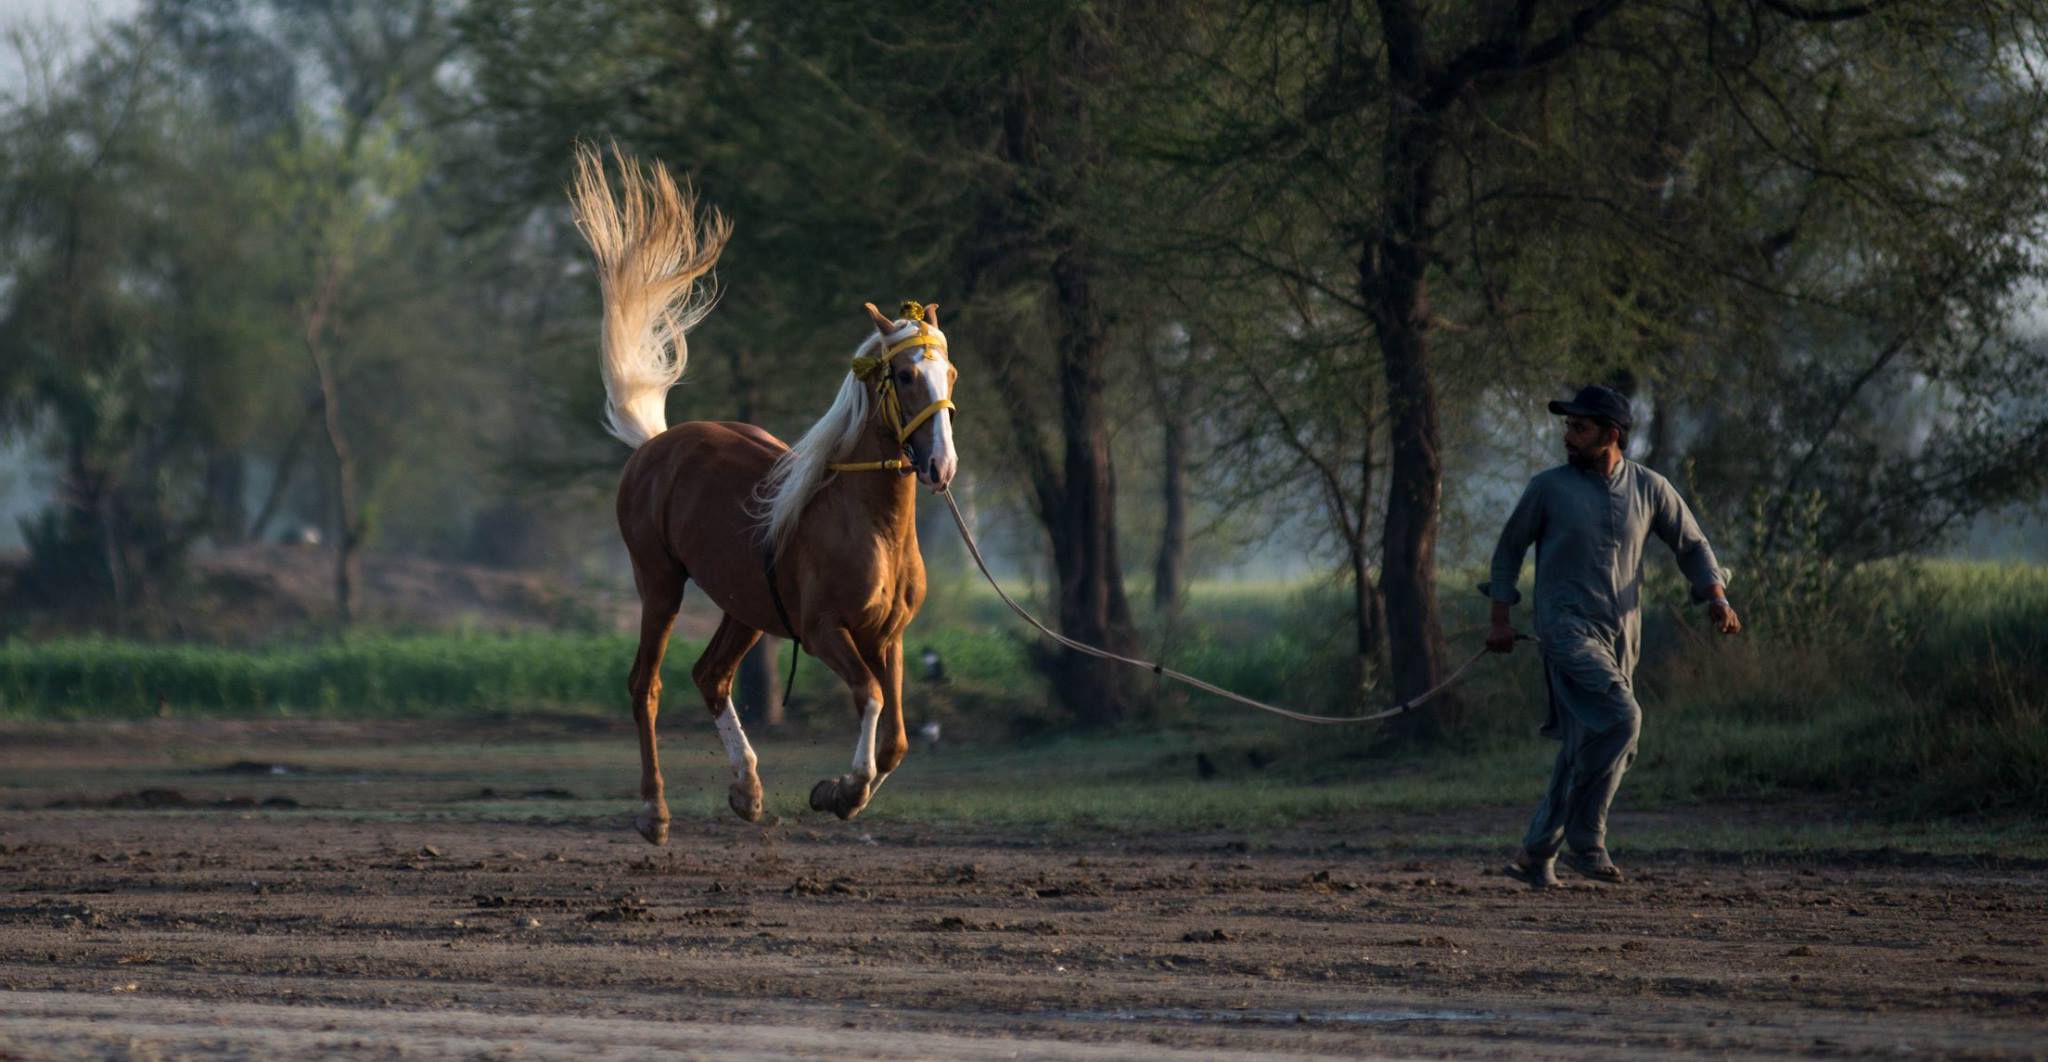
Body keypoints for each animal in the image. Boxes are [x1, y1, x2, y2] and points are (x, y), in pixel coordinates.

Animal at [568, 144, 959, 845]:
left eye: (951, 373)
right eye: (907, 374)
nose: (941, 464)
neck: (869, 524)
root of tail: (654, 446)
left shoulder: (889, 637)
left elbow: (897, 740)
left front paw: (834, 792)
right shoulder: (827, 631)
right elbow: (871, 699)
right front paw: (844, 791)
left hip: (744, 607)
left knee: (710, 675)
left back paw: (747, 790)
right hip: (659, 584)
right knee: (646, 685)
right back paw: (654, 810)